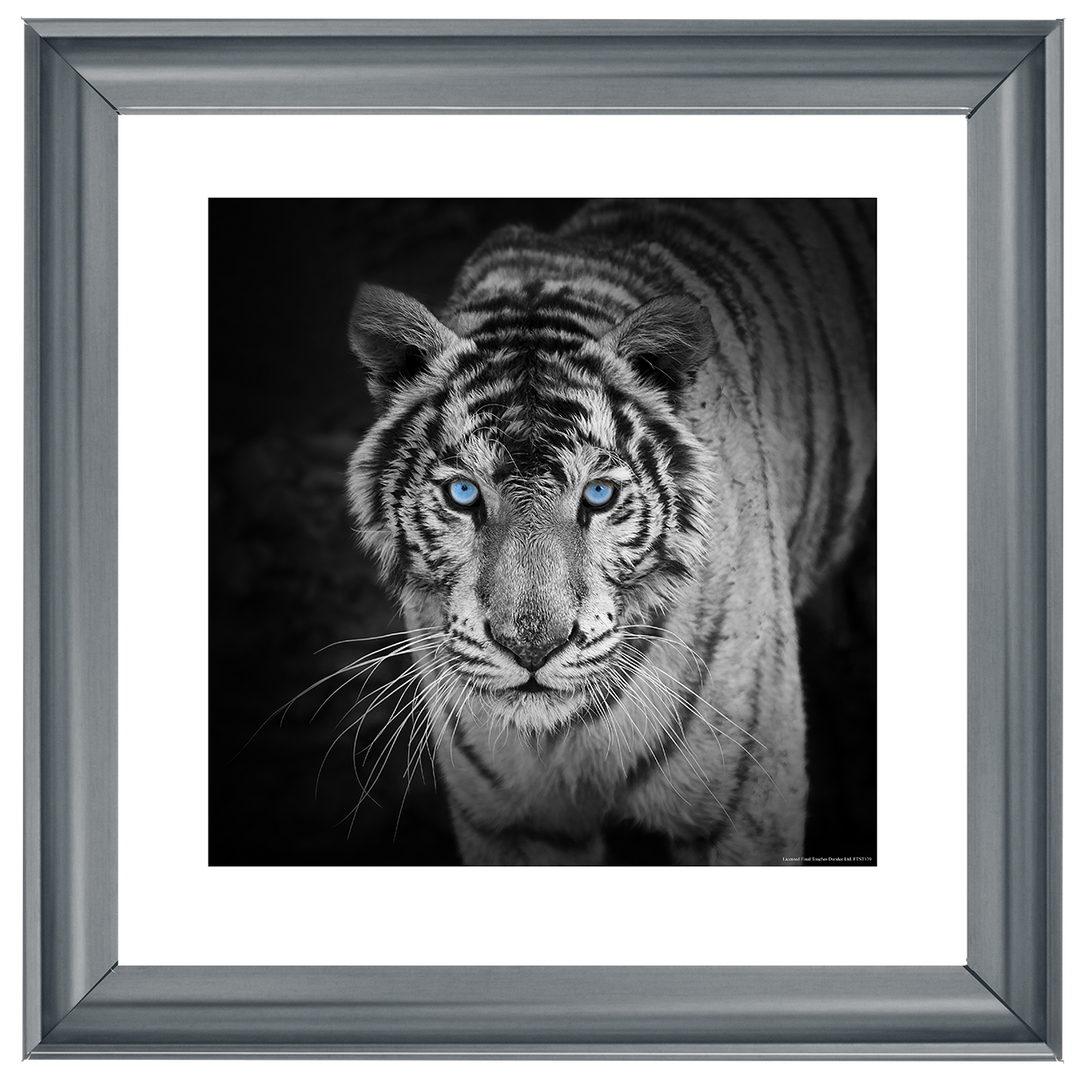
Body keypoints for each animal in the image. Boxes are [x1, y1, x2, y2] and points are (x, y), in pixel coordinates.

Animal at [344, 199, 875, 865]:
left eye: (597, 495)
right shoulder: (513, 822)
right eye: (463, 493)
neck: (564, 735)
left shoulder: (743, 810)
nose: (532, 649)